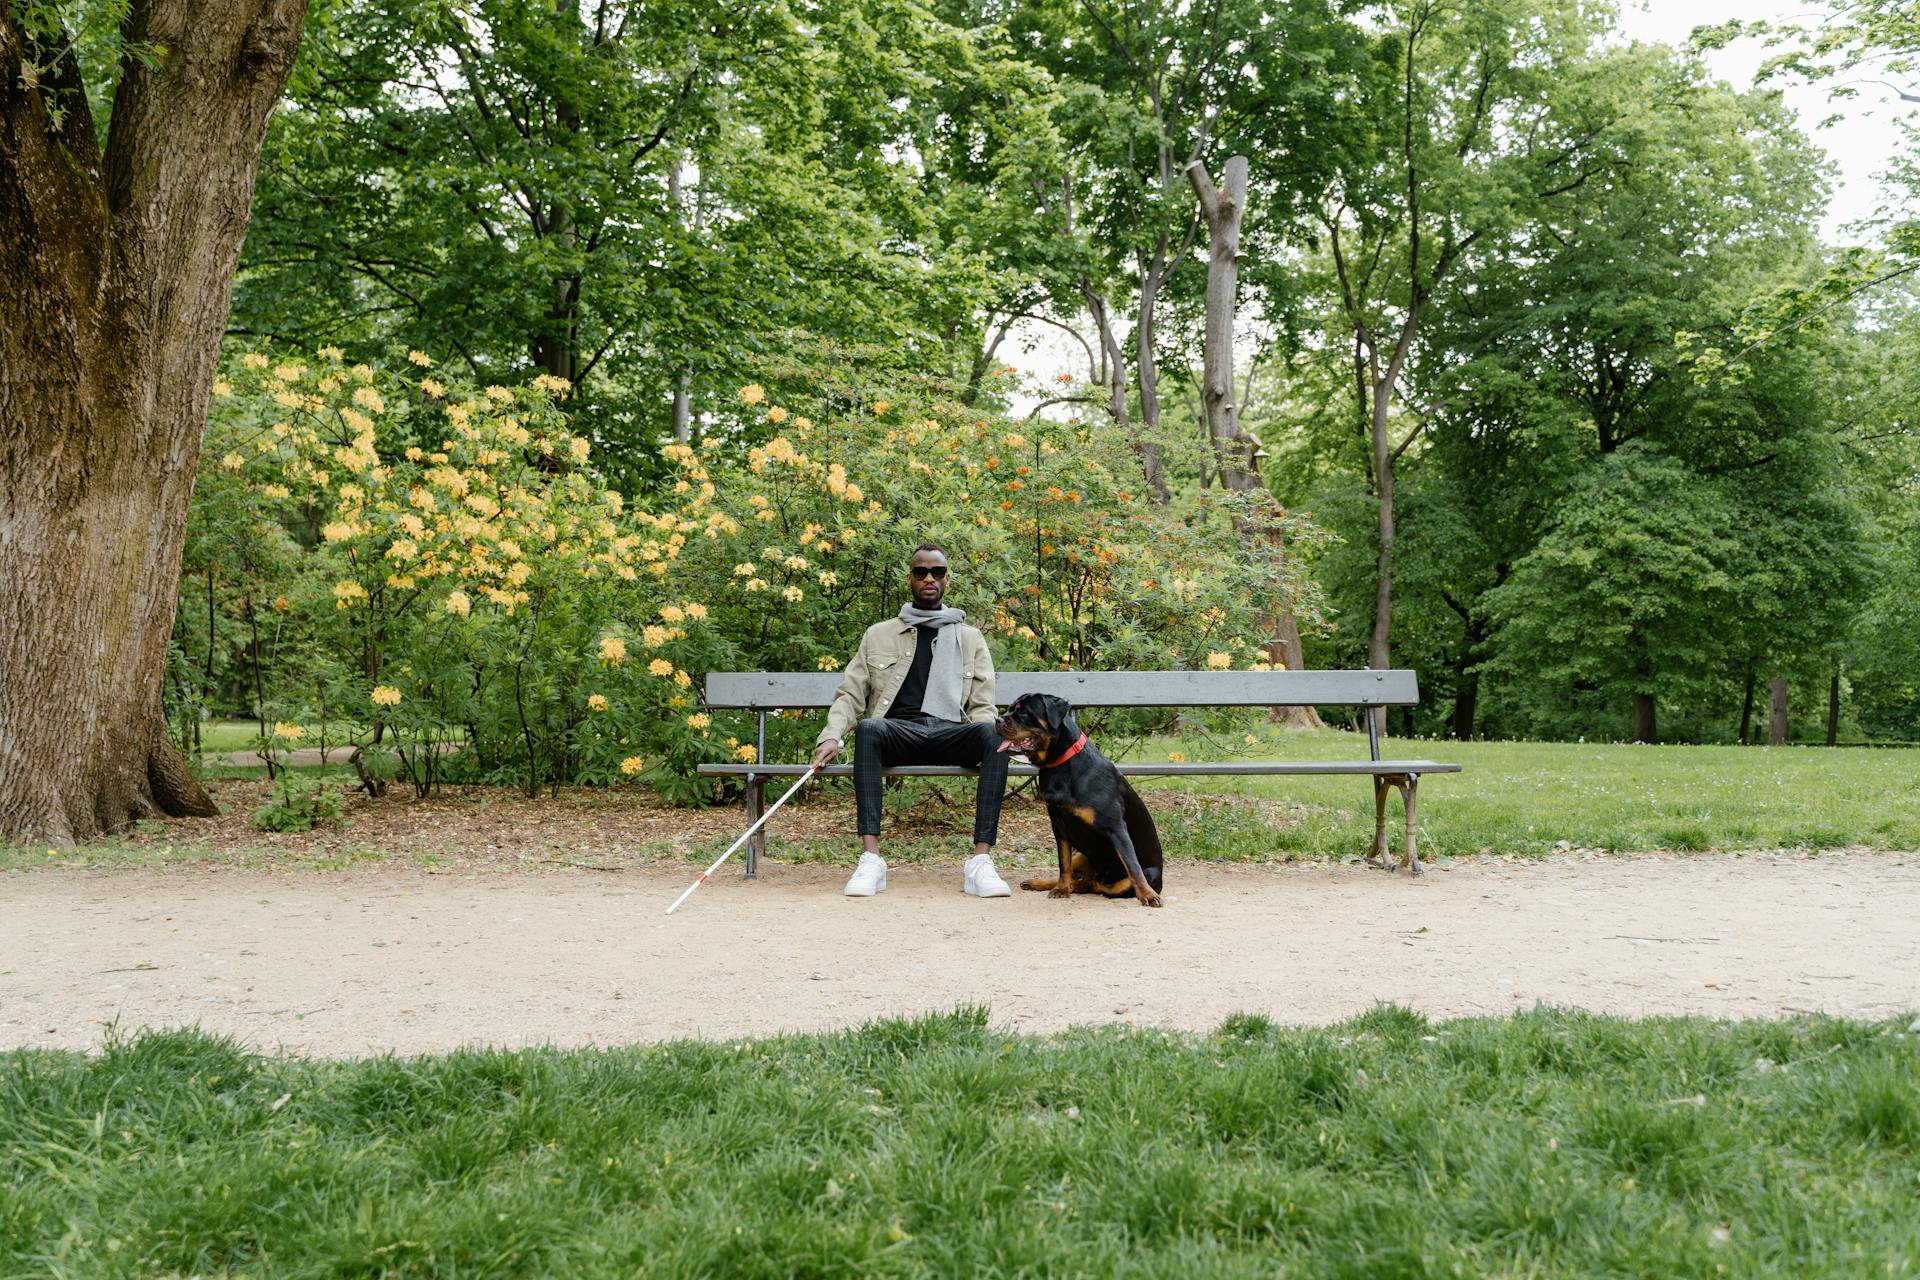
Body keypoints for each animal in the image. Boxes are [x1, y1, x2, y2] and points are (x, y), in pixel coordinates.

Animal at [998, 690, 1159, 909]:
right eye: (1010, 709)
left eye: (1023, 712)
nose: (997, 720)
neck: (1061, 764)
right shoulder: (1059, 825)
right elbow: (1063, 863)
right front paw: (1062, 889)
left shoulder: (1116, 828)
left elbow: (1133, 867)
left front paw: (1148, 895)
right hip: (1082, 855)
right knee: (1083, 877)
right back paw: (1044, 883)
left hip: (1123, 877)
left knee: (1101, 885)